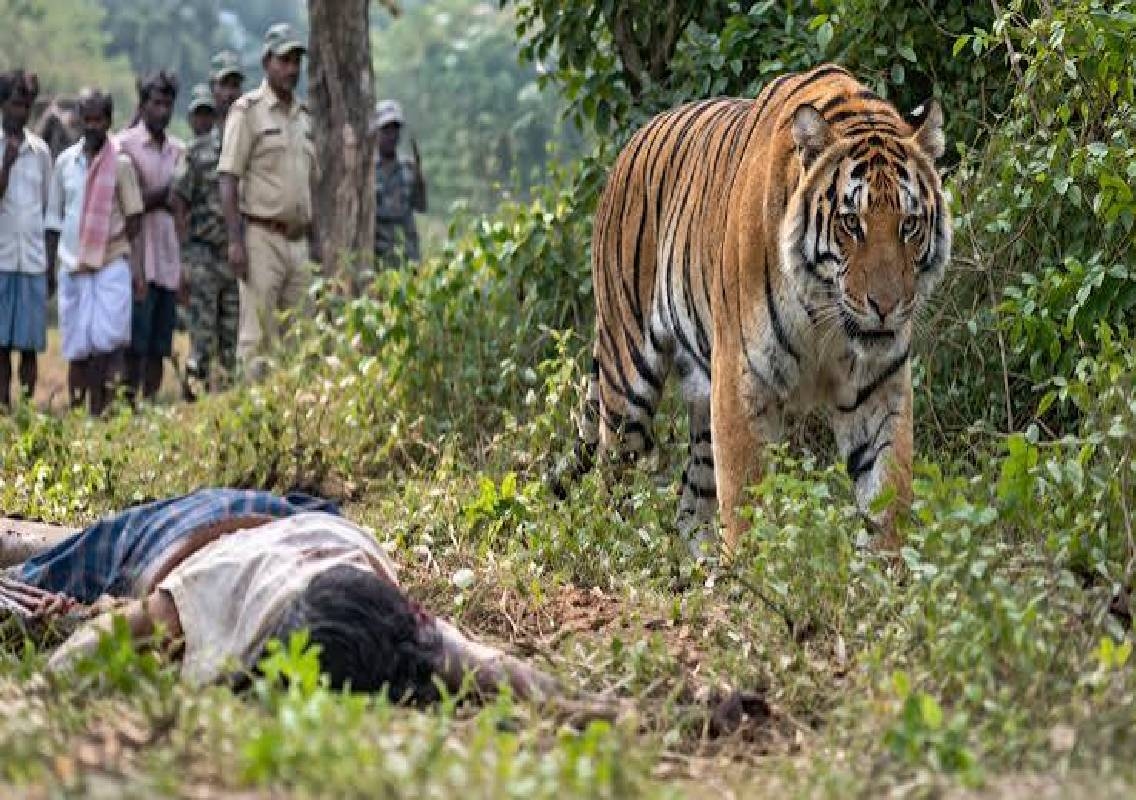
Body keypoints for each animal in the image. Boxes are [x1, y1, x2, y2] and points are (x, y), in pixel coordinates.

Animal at [555, 63, 951, 557]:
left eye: (909, 225)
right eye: (851, 223)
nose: (886, 306)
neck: (825, 313)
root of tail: (628, 147)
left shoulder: (880, 386)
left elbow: (887, 493)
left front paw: (889, 566)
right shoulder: (743, 378)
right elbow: (745, 499)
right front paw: (758, 569)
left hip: (699, 397)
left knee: (691, 503)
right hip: (628, 380)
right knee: (612, 477)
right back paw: (618, 552)